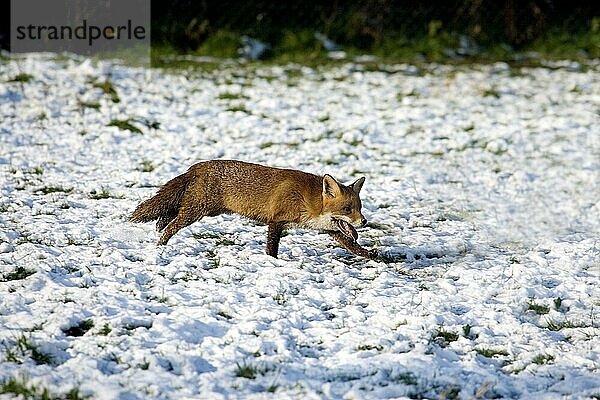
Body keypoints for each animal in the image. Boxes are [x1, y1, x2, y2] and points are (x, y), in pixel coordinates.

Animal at [131, 160, 376, 260]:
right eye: (347, 208)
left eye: (359, 208)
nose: (364, 222)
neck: (308, 200)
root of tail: (197, 166)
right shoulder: (276, 220)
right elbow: (272, 248)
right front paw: (273, 263)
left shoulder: (330, 229)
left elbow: (353, 246)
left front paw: (373, 256)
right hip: (198, 210)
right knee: (172, 225)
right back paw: (160, 245)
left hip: (206, 210)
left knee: (169, 215)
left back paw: (159, 226)